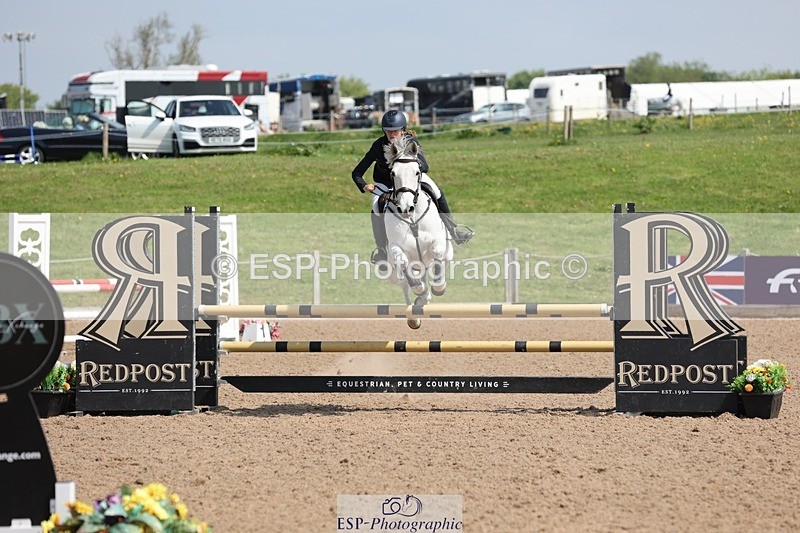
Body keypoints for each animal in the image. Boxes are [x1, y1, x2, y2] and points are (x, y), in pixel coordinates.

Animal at [378, 137, 453, 329]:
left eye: (417, 172)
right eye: (393, 174)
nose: (406, 208)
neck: (412, 219)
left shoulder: (438, 241)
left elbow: (437, 253)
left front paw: (439, 286)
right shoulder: (396, 247)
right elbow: (403, 262)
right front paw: (418, 288)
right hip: (393, 273)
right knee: (405, 284)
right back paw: (414, 314)